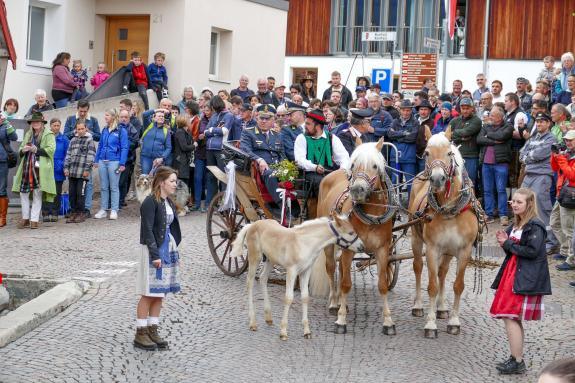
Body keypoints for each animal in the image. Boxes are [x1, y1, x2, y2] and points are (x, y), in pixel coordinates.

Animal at [230, 214, 364, 340]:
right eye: (351, 233)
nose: (362, 247)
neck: (305, 243)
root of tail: (252, 225)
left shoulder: (305, 271)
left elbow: (305, 297)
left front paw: (307, 331)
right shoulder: (292, 271)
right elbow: (289, 298)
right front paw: (283, 332)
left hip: (270, 260)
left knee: (263, 278)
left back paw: (268, 317)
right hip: (255, 257)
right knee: (250, 283)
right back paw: (252, 323)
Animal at [308, 139, 398, 336]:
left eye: (375, 165)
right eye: (354, 165)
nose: (357, 189)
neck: (371, 214)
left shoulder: (383, 250)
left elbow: (382, 284)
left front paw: (388, 322)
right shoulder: (349, 249)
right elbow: (346, 283)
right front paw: (341, 320)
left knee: (341, 269)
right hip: (329, 245)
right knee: (331, 268)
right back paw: (335, 303)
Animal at [408, 129, 484, 340]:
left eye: (449, 153)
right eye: (426, 153)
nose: (437, 179)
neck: (450, 209)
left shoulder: (464, 250)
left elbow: (458, 285)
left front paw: (454, 322)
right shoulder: (432, 249)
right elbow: (432, 285)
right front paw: (430, 324)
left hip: (449, 251)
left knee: (443, 272)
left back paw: (441, 308)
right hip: (416, 238)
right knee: (418, 268)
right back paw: (418, 305)